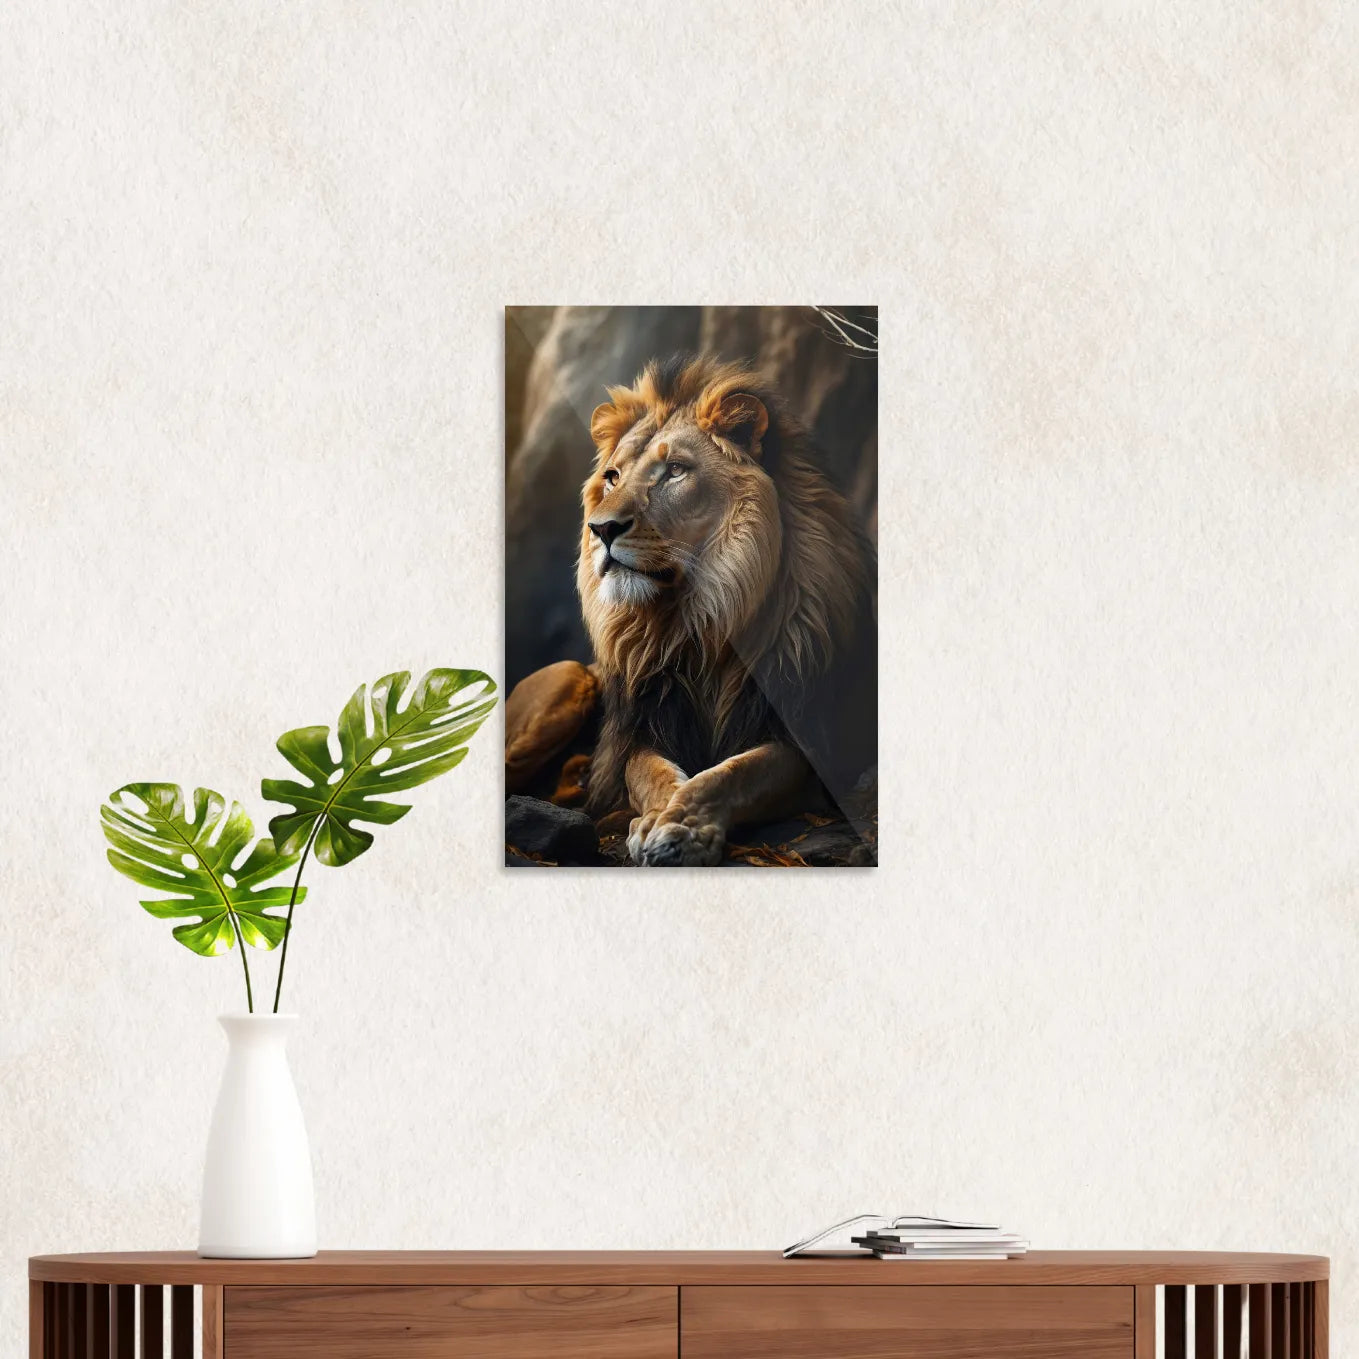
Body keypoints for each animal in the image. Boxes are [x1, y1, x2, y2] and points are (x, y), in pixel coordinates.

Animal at [577, 354, 876, 866]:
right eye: (612, 477)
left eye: (675, 470)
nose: (602, 529)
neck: (698, 625)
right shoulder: (638, 736)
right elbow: (651, 774)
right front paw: (657, 819)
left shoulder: (803, 740)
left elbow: (734, 773)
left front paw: (680, 827)